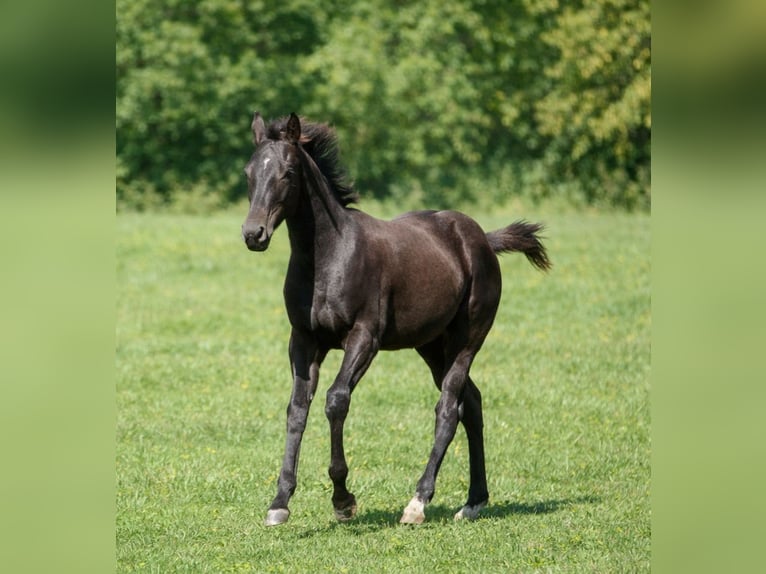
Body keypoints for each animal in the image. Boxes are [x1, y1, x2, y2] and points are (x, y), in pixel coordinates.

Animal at [241, 113, 550, 526]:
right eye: (249, 173)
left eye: (288, 173)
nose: (253, 234)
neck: (329, 257)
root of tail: (483, 239)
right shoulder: (304, 340)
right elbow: (297, 409)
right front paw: (280, 502)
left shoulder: (364, 338)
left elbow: (336, 400)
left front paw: (343, 500)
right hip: (432, 345)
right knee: (472, 401)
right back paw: (473, 501)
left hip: (468, 338)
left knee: (449, 407)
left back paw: (418, 503)